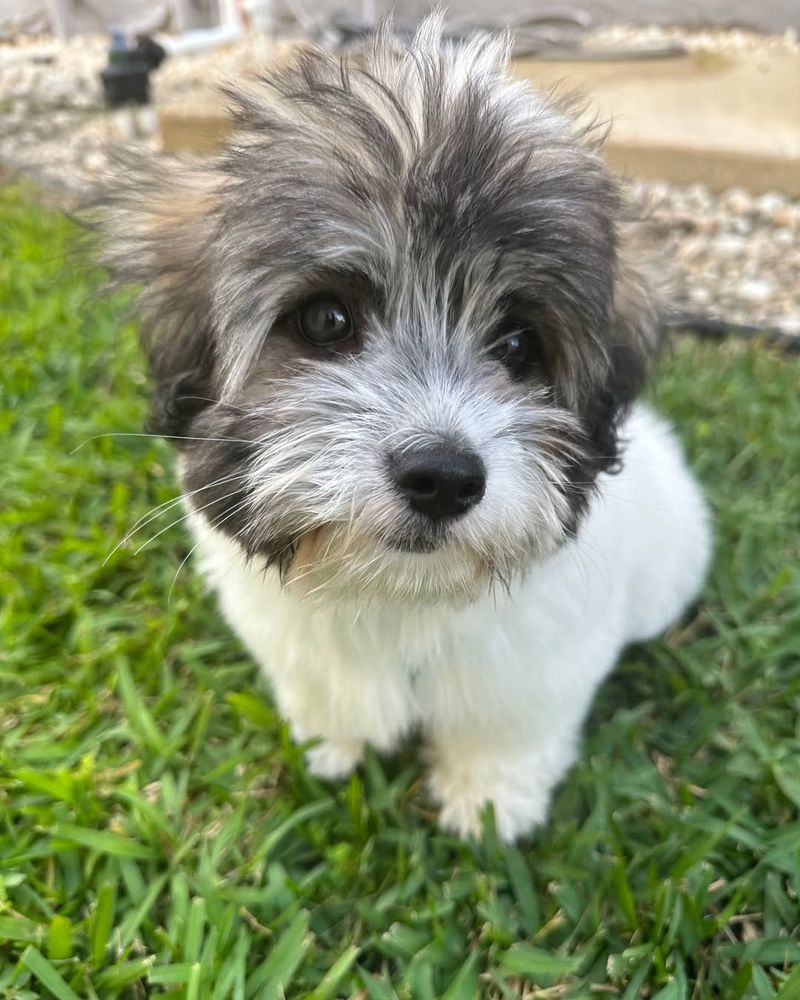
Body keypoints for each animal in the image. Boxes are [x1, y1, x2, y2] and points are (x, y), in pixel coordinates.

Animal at [97, 19, 708, 840]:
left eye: (519, 345)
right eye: (327, 320)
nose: (443, 477)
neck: (397, 594)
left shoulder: (534, 670)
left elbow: (507, 728)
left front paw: (490, 802)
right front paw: (330, 745)